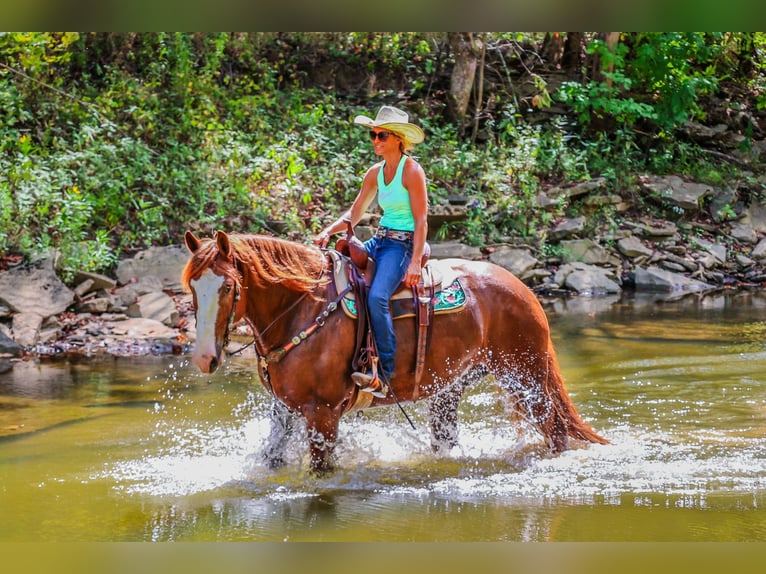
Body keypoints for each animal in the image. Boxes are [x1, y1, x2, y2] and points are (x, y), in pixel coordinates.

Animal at [181, 230, 607, 475]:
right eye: (192, 286)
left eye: (227, 287)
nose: (204, 357)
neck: (301, 307)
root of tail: (523, 288)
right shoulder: (283, 409)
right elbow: (271, 459)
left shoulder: (322, 415)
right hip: (449, 389)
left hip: (526, 378)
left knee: (556, 432)